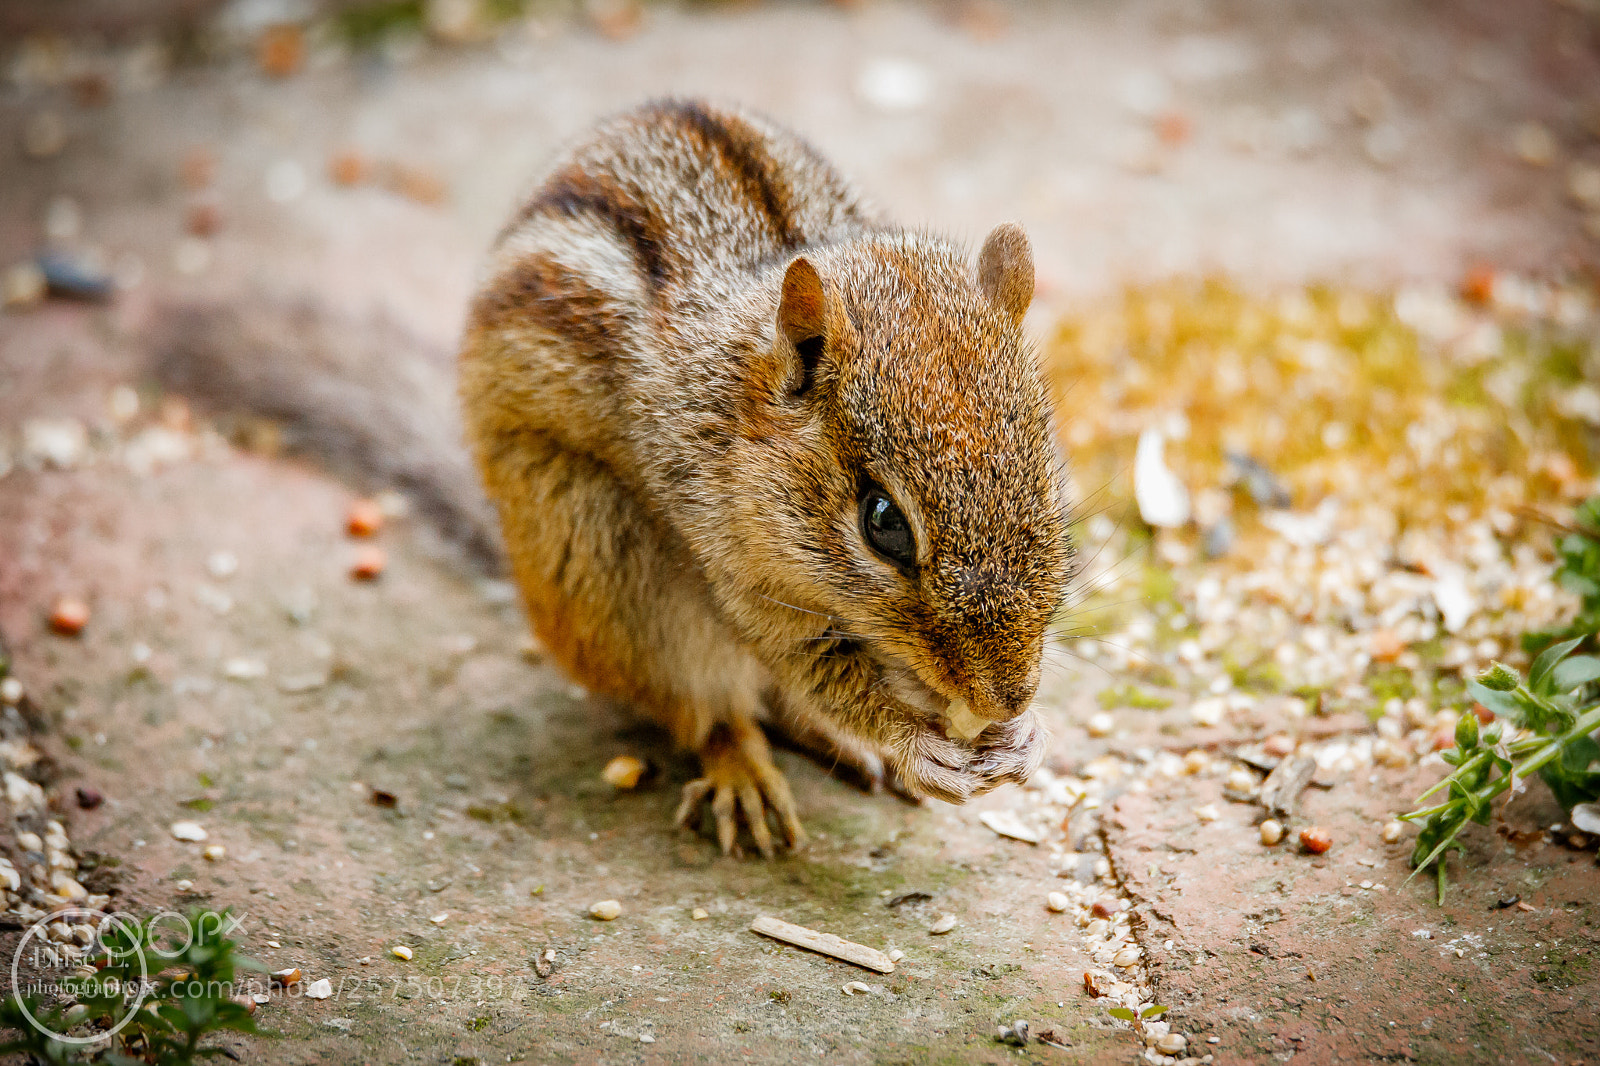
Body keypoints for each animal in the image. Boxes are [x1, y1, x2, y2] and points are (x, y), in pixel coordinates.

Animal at [456, 99, 1075, 856]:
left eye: (1046, 477)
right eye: (884, 524)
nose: (1005, 697)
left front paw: (1024, 735)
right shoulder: (735, 569)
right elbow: (805, 667)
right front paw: (915, 744)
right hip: (605, 566)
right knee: (710, 708)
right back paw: (747, 775)